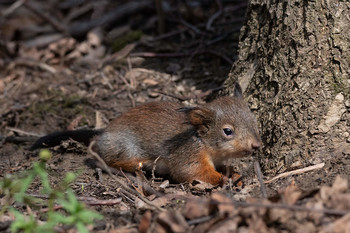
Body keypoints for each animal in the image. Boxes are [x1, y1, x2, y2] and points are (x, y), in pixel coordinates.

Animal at [31, 83, 262, 186]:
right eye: (227, 131)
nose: (256, 146)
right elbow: (193, 172)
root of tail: (105, 132)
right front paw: (223, 179)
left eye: (254, 120)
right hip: (125, 148)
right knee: (108, 159)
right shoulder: (188, 155)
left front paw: (234, 174)